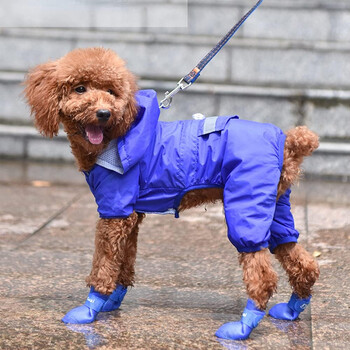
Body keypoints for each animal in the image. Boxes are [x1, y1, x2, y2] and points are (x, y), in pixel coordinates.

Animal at [24, 46, 320, 340]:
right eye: (80, 88)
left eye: (111, 91)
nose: (104, 113)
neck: (115, 137)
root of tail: (287, 142)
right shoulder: (131, 215)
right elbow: (124, 261)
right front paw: (113, 300)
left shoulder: (115, 211)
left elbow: (105, 263)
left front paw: (90, 308)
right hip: (275, 207)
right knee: (300, 259)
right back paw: (291, 309)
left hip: (246, 203)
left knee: (263, 274)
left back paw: (242, 327)